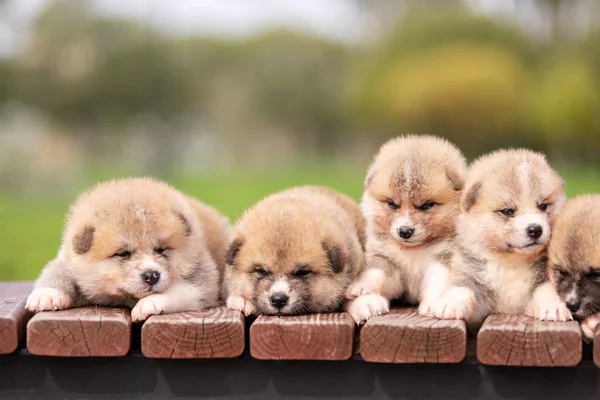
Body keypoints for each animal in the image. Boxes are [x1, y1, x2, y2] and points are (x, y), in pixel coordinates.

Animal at [25, 178, 230, 322]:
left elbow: (180, 289)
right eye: (123, 253)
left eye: (161, 249)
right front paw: (46, 295)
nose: (151, 275)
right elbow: (56, 273)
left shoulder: (203, 276)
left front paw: (149, 304)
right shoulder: (67, 260)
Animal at [344, 135, 466, 324]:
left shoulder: (444, 258)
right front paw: (362, 288)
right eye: (392, 204)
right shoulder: (386, 259)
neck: (412, 251)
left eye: (426, 205)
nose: (405, 231)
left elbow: (438, 283)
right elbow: (376, 271)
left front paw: (434, 306)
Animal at [432, 148, 568, 326]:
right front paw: (450, 305)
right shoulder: (473, 280)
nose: (535, 229)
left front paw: (554, 307)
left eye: (543, 206)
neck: (511, 262)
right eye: (508, 211)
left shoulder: (540, 283)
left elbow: (546, 289)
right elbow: (463, 289)